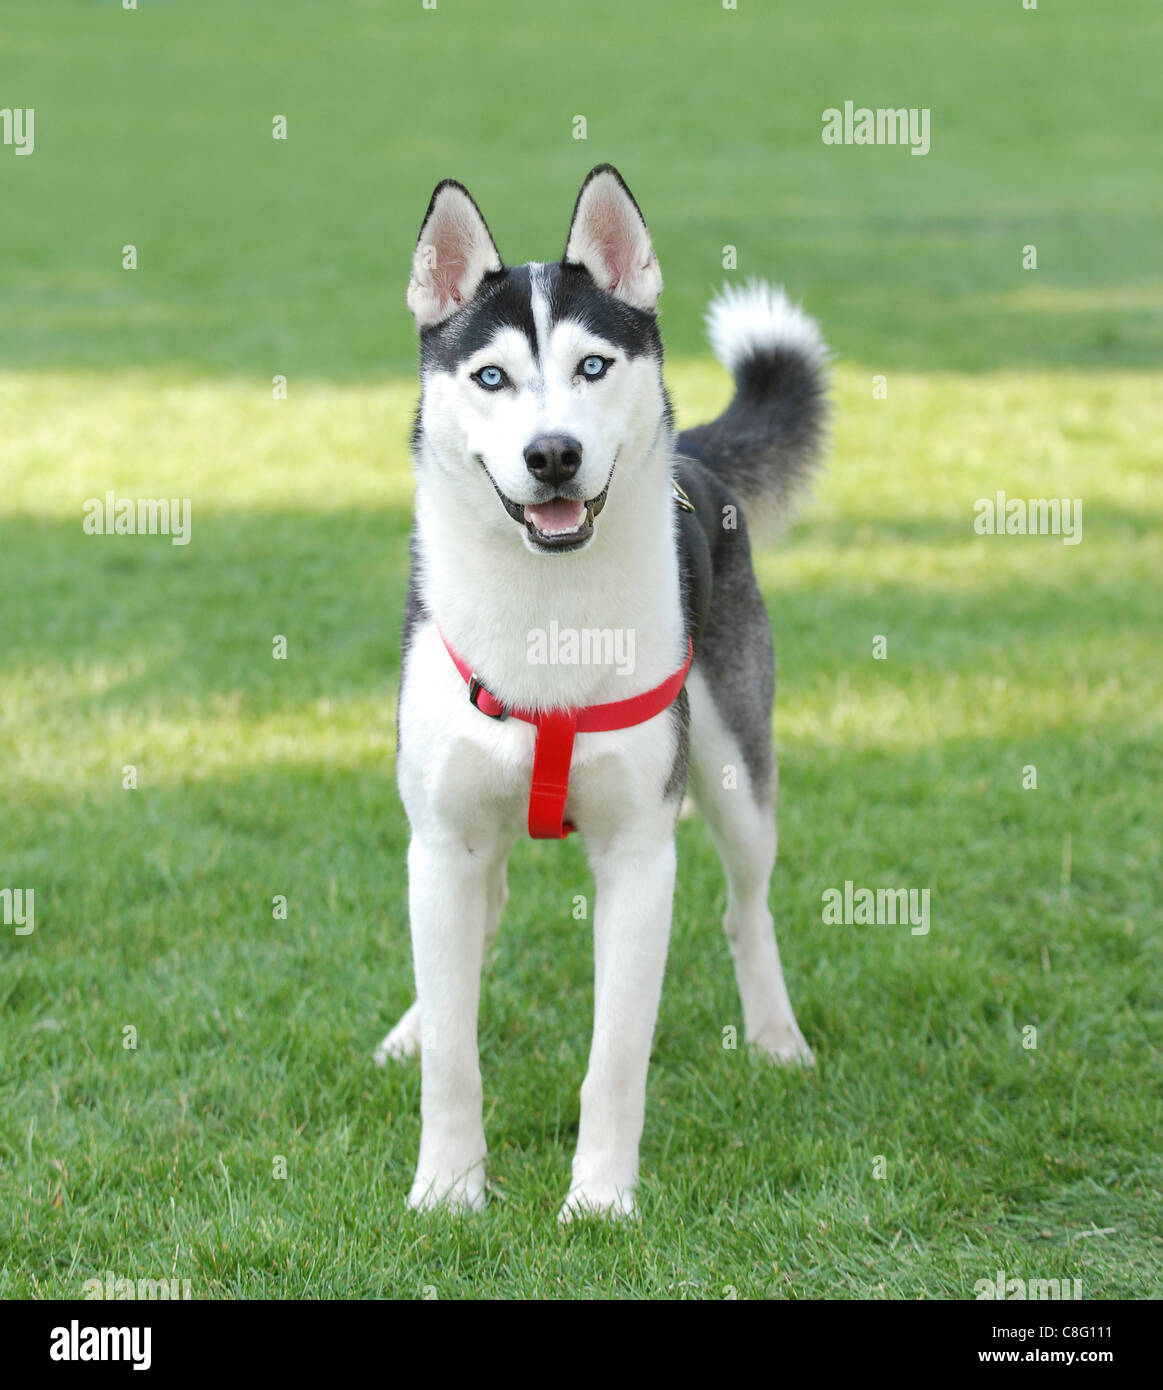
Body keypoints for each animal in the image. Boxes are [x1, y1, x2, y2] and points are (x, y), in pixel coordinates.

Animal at [375, 165, 828, 1217]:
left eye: (591, 367)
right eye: (490, 377)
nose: (552, 455)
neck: (549, 612)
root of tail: (698, 456)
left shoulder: (639, 854)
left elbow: (616, 1057)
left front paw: (600, 1202)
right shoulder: (442, 842)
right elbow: (454, 1051)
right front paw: (447, 1189)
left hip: (736, 776)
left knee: (746, 908)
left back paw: (775, 1039)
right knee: (480, 916)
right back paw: (408, 1027)